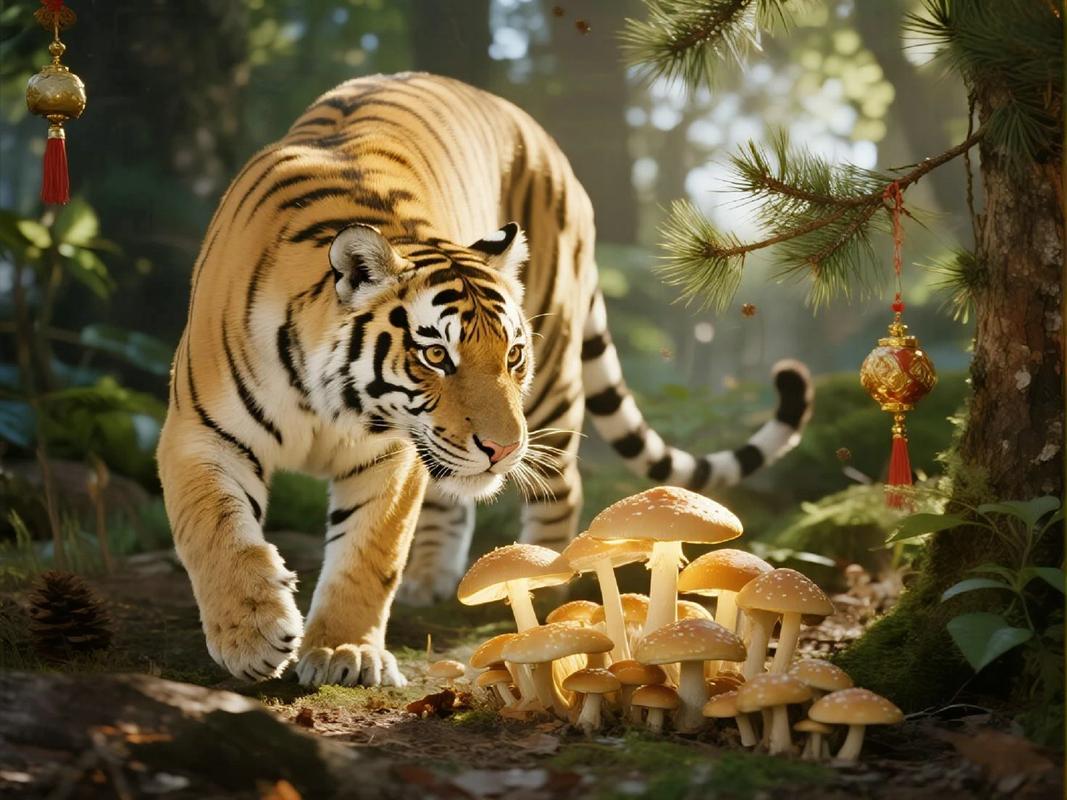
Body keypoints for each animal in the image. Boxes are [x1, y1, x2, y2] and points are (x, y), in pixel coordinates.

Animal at [157, 72, 812, 687]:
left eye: (513, 354)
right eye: (435, 356)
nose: (502, 448)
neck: (331, 404)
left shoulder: (389, 455)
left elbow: (367, 554)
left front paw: (345, 652)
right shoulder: (200, 431)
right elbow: (214, 528)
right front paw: (253, 633)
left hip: (555, 382)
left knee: (560, 488)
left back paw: (551, 585)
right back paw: (432, 578)